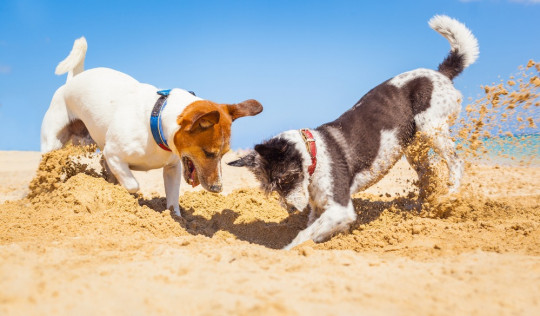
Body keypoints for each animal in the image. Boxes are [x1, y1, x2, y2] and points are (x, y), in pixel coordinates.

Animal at [41, 37, 262, 215]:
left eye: (224, 154)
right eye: (208, 153)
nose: (218, 189)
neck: (156, 122)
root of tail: (72, 81)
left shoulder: (173, 168)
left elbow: (173, 200)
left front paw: (175, 218)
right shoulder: (113, 154)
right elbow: (132, 185)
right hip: (53, 144)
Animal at [227, 15, 476, 249]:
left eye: (285, 179)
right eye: (270, 188)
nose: (290, 210)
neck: (314, 154)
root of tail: (441, 74)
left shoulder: (340, 208)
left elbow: (302, 236)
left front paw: (286, 250)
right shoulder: (320, 209)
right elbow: (313, 230)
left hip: (431, 127)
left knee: (456, 162)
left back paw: (449, 196)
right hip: (413, 146)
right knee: (428, 174)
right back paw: (421, 207)